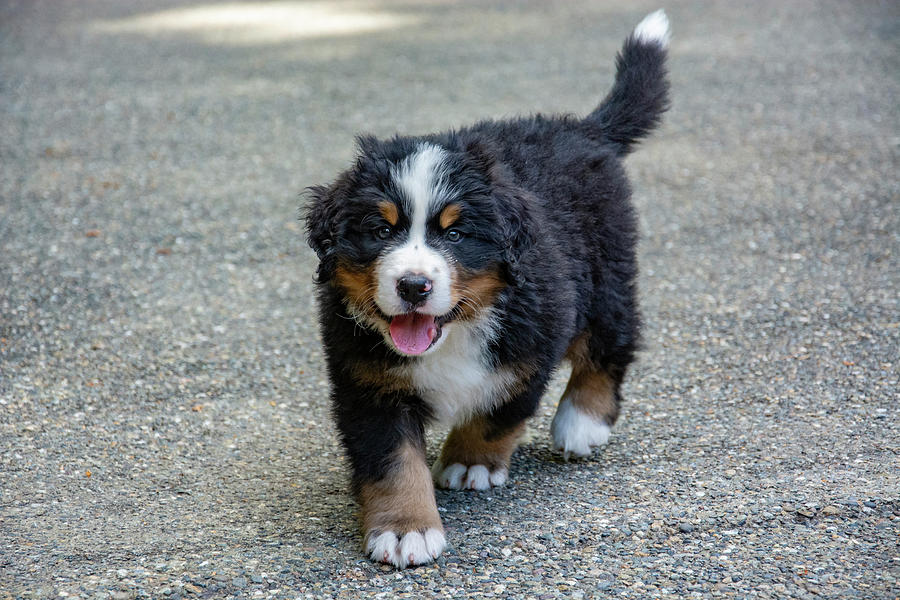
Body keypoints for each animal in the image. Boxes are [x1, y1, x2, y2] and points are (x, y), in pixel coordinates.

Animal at [306, 11, 672, 568]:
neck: (455, 331)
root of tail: (583, 129)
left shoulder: (532, 344)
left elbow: (499, 412)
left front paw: (469, 463)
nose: (414, 286)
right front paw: (405, 529)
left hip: (607, 273)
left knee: (613, 341)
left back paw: (582, 421)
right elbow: (392, 462)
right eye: (381, 230)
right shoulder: (367, 382)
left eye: (456, 234)